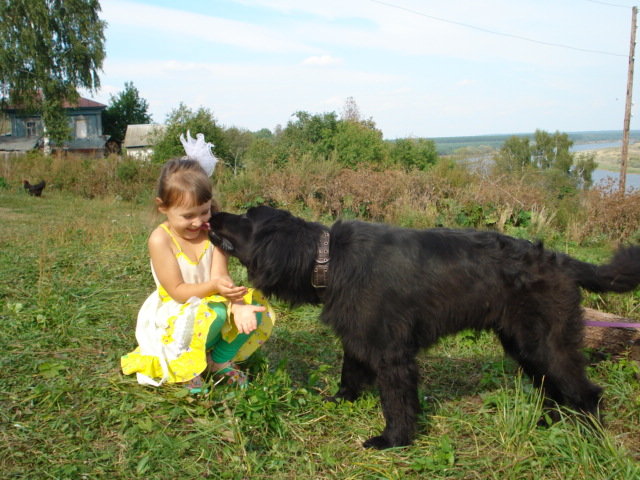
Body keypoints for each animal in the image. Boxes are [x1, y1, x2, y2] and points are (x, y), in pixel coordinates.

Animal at [210, 206, 640, 450]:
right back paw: (548, 423)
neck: (329, 259)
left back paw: (591, 437)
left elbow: (397, 402)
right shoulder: (359, 337)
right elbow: (350, 374)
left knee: (586, 392)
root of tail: (561, 261)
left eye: (246, 217)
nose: (212, 213)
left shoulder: (393, 354)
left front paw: (394, 441)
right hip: (524, 344)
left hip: (546, 343)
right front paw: (340, 401)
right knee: (551, 388)